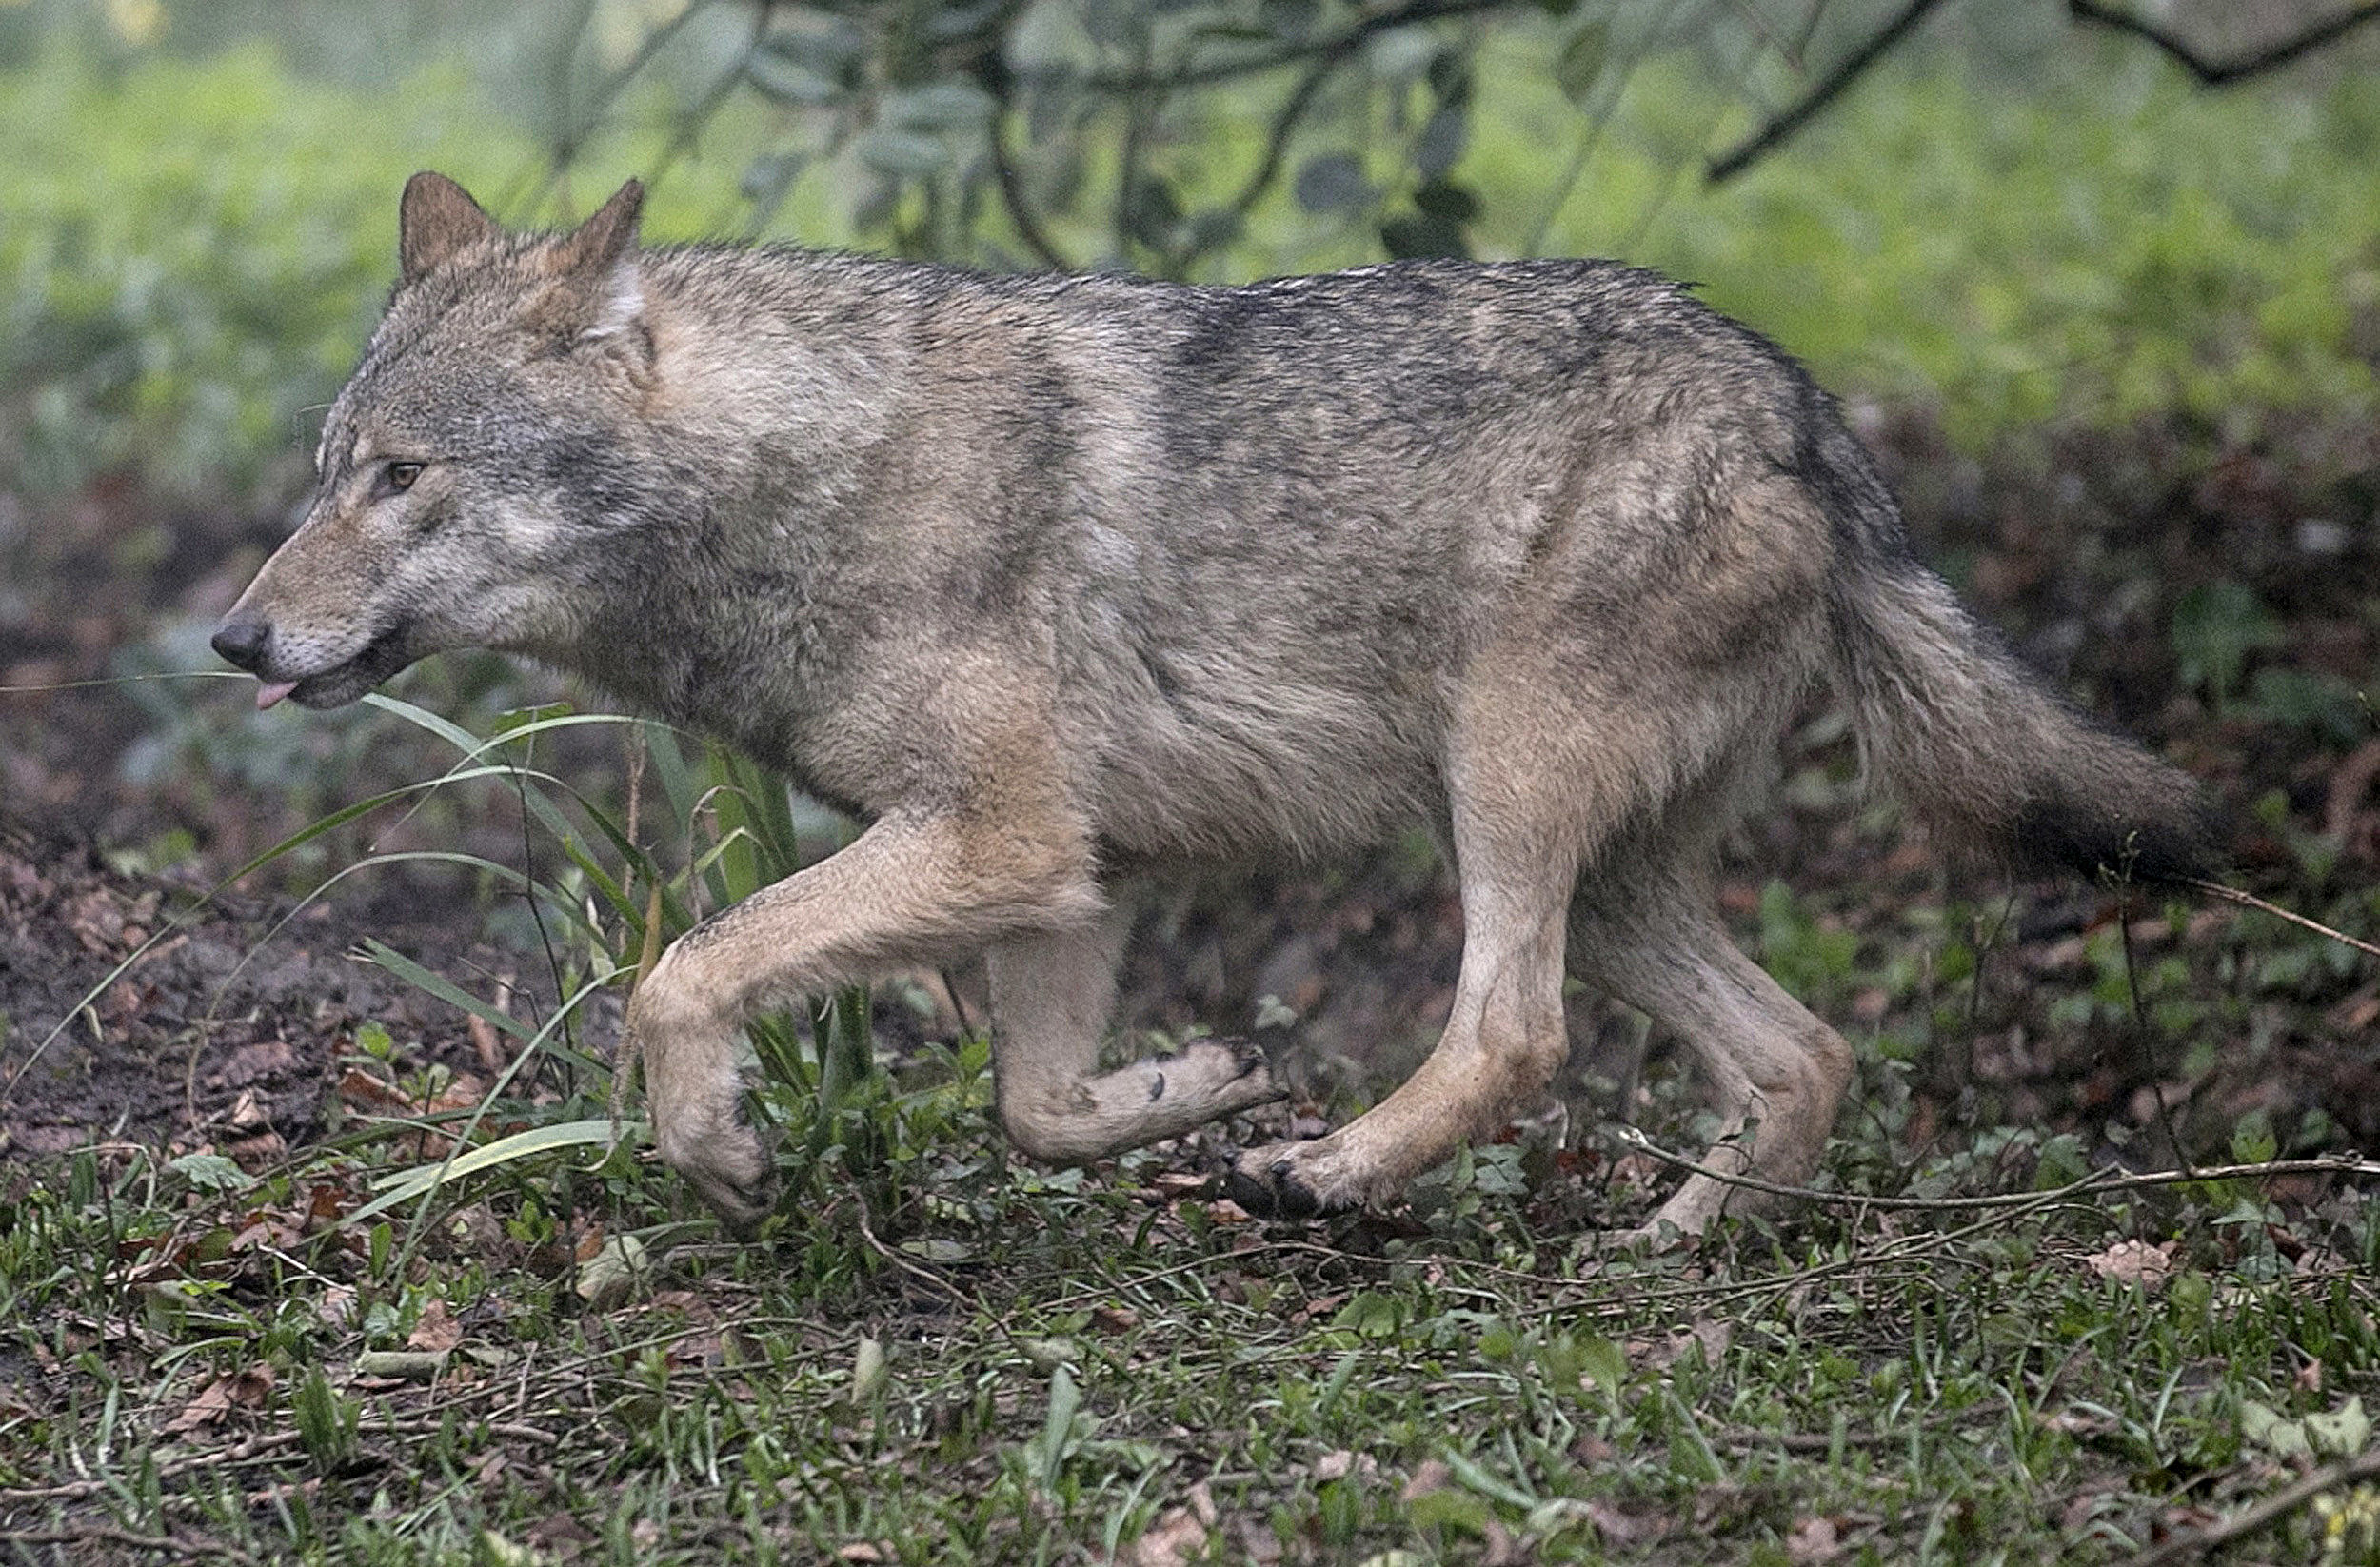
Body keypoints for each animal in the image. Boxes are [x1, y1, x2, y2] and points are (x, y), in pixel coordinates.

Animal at [214, 173, 2218, 1228]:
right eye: (322, 474)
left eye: (397, 478)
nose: (232, 643)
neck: (810, 481)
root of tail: (1810, 413)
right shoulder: (1069, 874)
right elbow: (1034, 1104)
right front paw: (1195, 1081)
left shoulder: (1003, 836)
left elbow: (683, 970)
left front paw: (715, 1143)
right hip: (1615, 875)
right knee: (1807, 1055)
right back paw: (1680, 1239)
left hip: (1501, 801)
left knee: (1517, 1036)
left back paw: (1328, 1176)